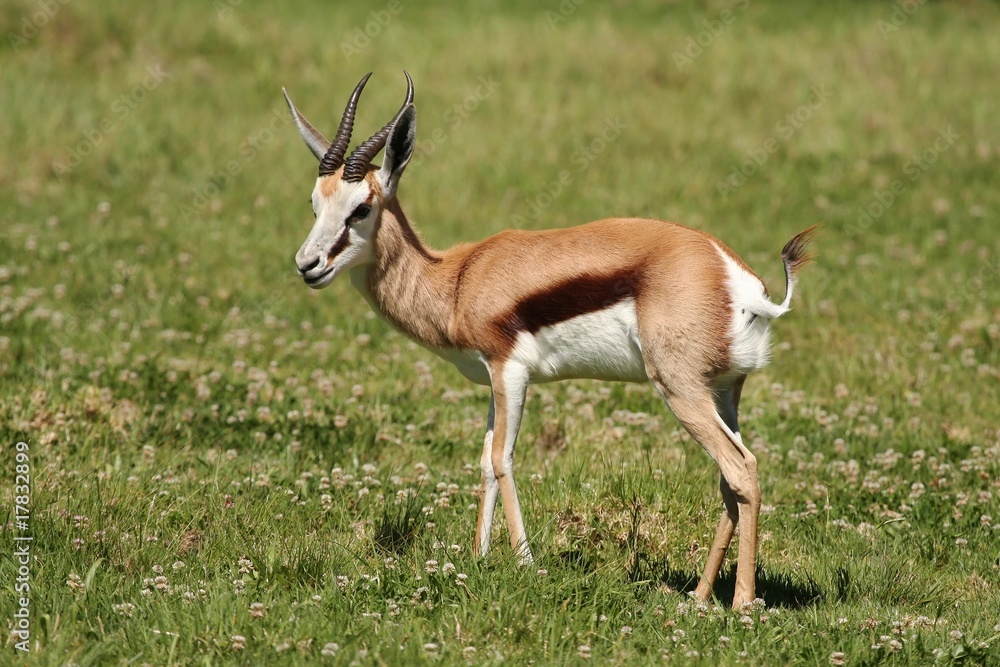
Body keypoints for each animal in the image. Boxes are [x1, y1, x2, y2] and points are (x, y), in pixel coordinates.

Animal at [282, 72, 816, 609]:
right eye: (314, 204)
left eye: (361, 208)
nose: (308, 265)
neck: (457, 280)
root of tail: (740, 281)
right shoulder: (493, 380)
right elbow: (483, 461)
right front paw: (478, 559)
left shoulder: (510, 371)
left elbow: (502, 459)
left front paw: (524, 562)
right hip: (723, 393)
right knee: (731, 481)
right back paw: (700, 595)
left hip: (680, 390)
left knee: (742, 470)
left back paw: (742, 603)